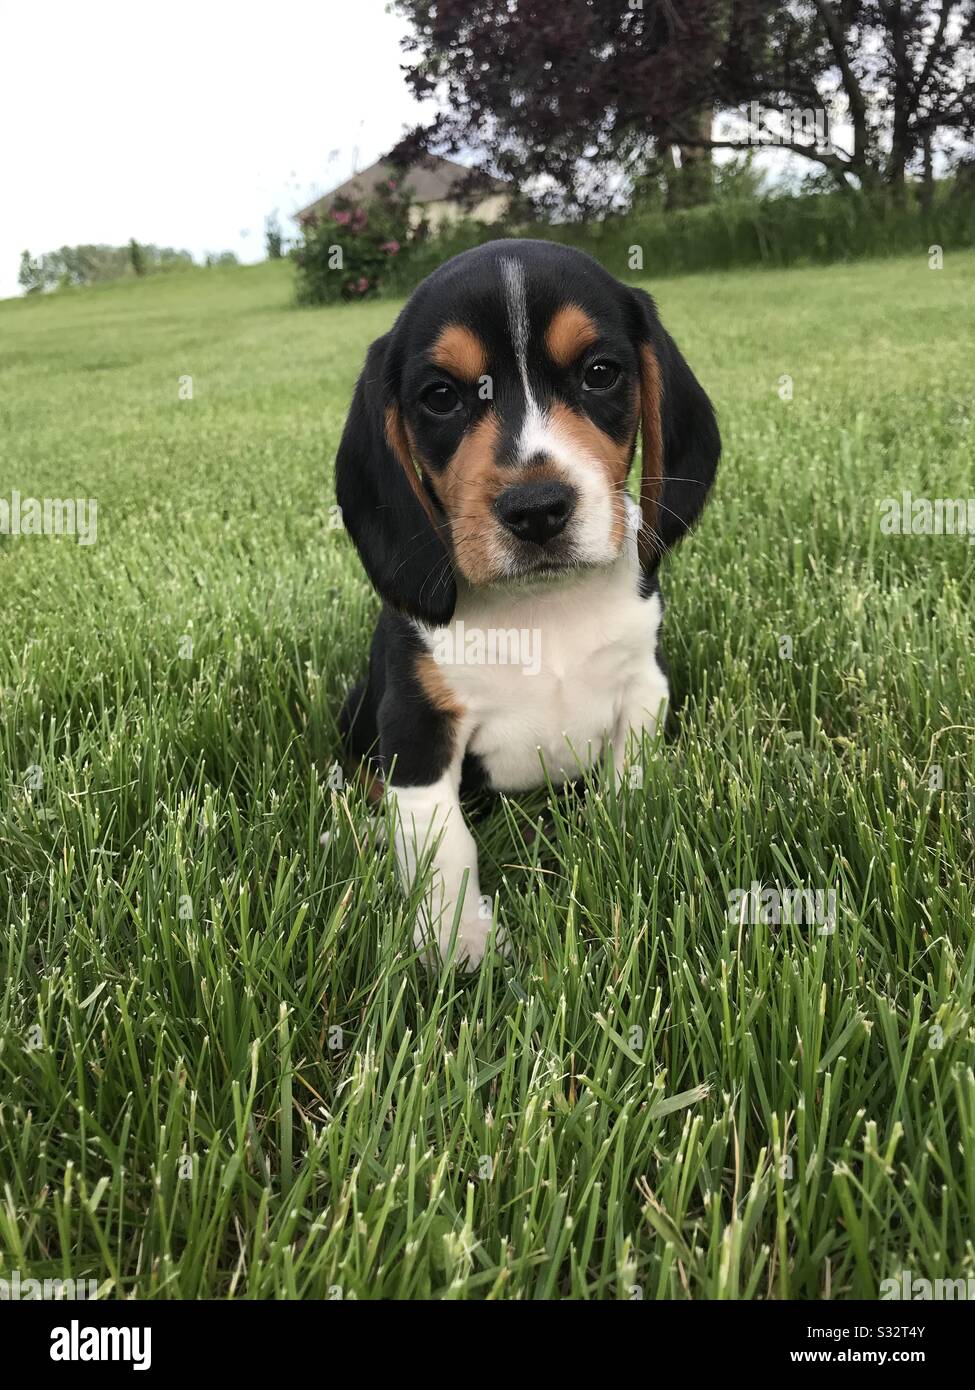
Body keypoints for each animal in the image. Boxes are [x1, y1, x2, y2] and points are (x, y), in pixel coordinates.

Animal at [337, 239, 717, 967]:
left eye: (600, 373)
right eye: (440, 396)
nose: (537, 509)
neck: (542, 607)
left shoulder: (643, 686)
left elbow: (628, 780)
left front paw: (627, 844)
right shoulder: (416, 724)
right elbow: (441, 839)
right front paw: (456, 936)